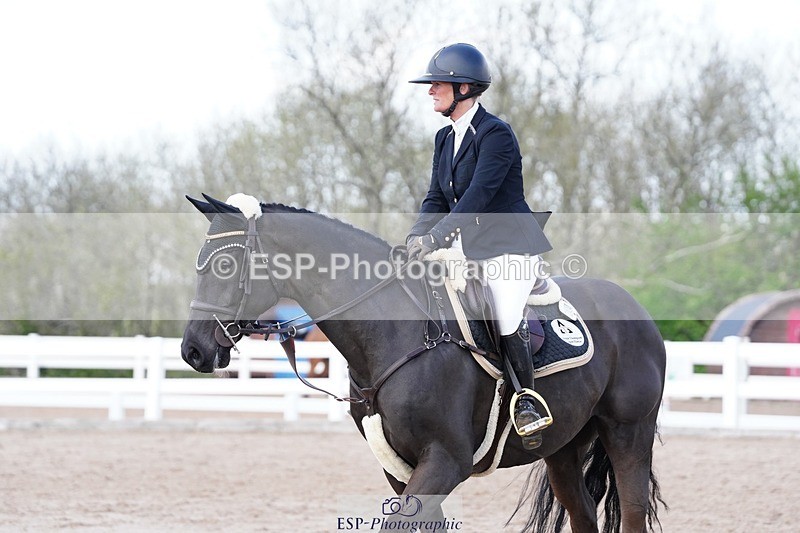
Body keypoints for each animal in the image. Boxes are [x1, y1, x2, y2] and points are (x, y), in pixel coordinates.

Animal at [181, 194, 667, 532]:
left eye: (224, 265)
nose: (193, 351)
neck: (394, 333)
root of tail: (636, 308)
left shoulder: (446, 460)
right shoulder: (400, 468)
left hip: (628, 431)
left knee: (633, 512)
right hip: (563, 447)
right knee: (582, 513)